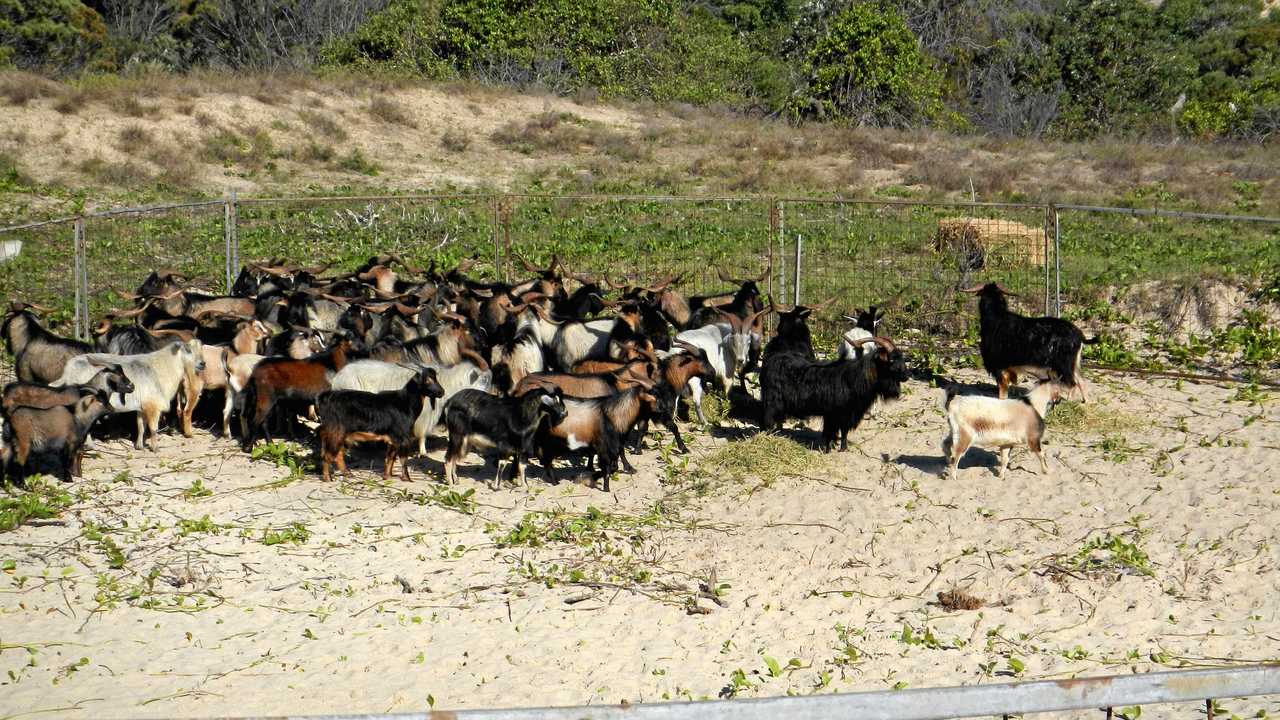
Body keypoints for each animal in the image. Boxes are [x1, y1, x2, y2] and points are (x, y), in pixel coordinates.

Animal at [57, 338, 204, 448]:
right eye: (188, 350)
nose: (203, 364)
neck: (162, 368)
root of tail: (68, 370)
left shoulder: (142, 407)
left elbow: (141, 426)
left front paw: (139, 446)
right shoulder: (153, 405)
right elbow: (153, 428)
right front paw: (155, 448)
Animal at [314, 366, 445, 479]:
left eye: (436, 378)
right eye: (427, 380)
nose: (442, 392)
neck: (405, 402)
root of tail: (325, 397)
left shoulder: (393, 439)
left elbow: (390, 458)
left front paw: (387, 476)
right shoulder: (401, 437)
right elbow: (403, 459)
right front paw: (407, 479)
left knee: (337, 454)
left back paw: (348, 474)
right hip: (336, 431)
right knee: (329, 455)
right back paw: (328, 478)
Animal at [757, 335, 911, 448]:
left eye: (901, 358)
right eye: (891, 360)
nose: (906, 376)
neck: (856, 378)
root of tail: (771, 360)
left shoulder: (848, 414)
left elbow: (844, 432)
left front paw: (843, 448)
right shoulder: (833, 414)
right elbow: (829, 432)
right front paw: (827, 449)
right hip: (772, 401)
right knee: (767, 420)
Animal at [936, 379, 1064, 479]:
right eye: (1059, 389)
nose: (1059, 400)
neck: (1033, 404)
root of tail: (953, 404)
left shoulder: (1007, 443)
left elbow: (1005, 459)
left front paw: (1001, 476)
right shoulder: (1033, 439)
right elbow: (1042, 455)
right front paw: (1046, 471)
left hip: (955, 431)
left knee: (945, 445)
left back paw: (947, 463)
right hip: (965, 436)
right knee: (955, 456)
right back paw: (954, 478)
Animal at [962, 280, 1095, 399]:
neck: (996, 318)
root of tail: (1079, 335)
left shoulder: (999, 366)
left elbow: (1002, 391)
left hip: (1064, 365)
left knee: (1072, 384)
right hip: (1072, 364)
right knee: (1080, 381)